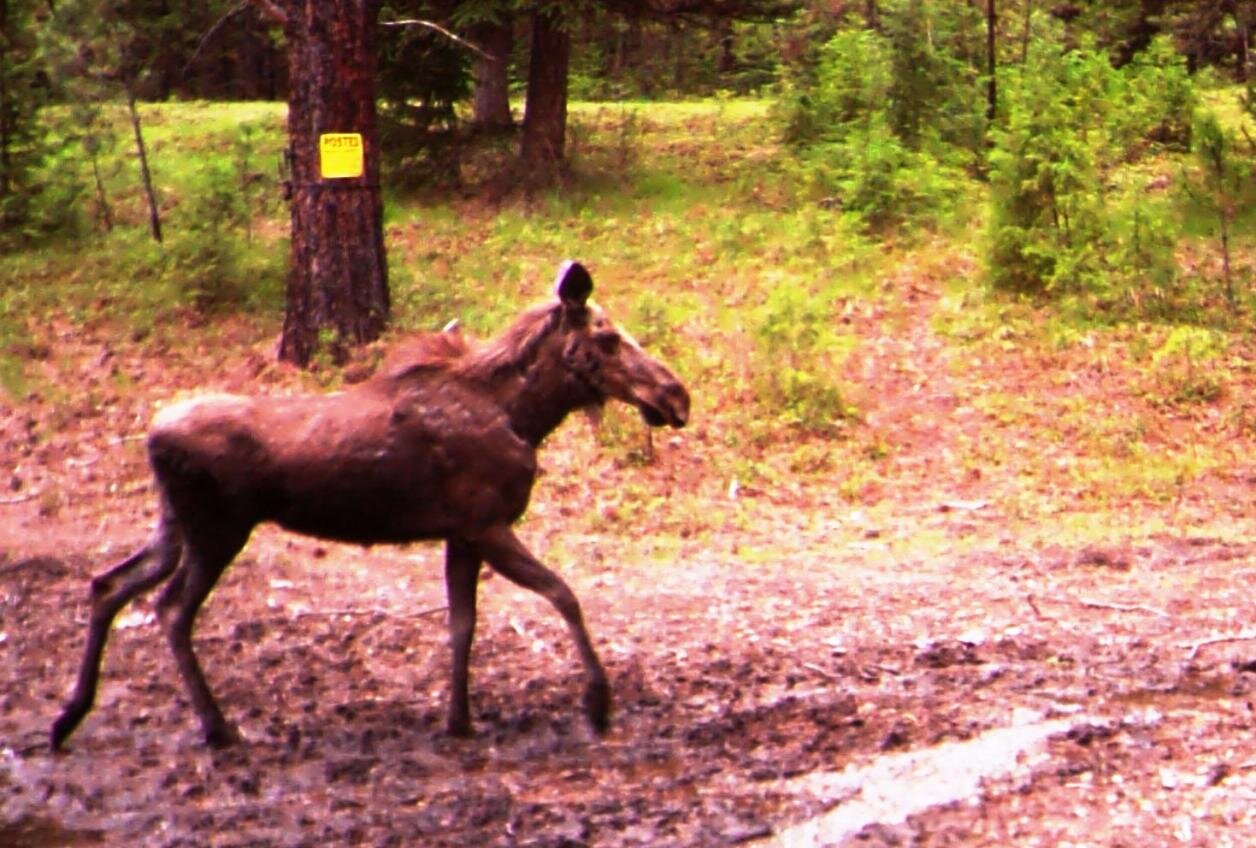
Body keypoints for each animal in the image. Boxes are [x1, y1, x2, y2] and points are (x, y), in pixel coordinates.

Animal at [54, 260, 693, 748]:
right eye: (608, 337)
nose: (677, 395)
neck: (525, 418)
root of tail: (151, 437)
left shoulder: (461, 534)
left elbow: (462, 624)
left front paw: (458, 719)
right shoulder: (487, 524)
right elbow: (564, 594)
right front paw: (598, 703)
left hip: (173, 527)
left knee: (109, 585)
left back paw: (69, 717)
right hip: (217, 531)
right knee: (169, 610)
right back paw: (217, 728)